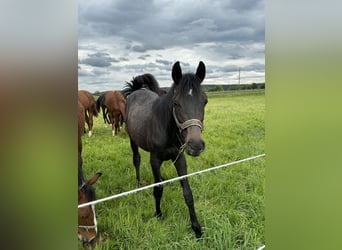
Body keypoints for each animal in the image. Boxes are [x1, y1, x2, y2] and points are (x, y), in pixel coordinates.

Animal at [124, 61, 207, 238]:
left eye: (205, 101)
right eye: (176, 103)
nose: (195, 146)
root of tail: (137, 91)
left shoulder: (179, 158)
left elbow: (187, 193)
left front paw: (196, 228)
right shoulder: (155, 160)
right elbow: (158, 188)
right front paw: (158, 214)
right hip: (132, 140)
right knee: (136, 160)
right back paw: (138, 184)